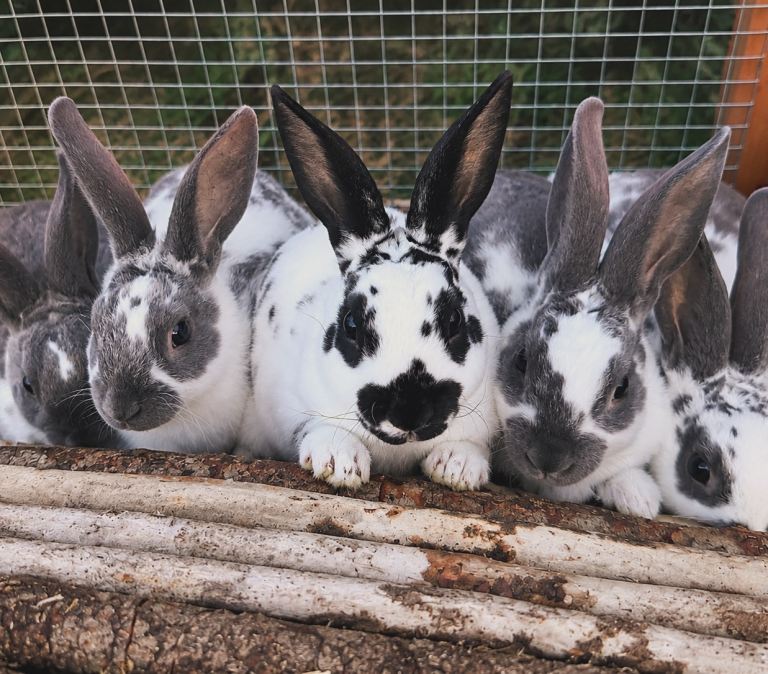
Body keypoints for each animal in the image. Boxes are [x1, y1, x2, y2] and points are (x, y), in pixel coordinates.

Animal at [241, 72, 514, 490]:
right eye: (351, 325)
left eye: (454, 321)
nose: (409, 411)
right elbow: (319, 430)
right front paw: (339, 463)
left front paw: (458, 468)